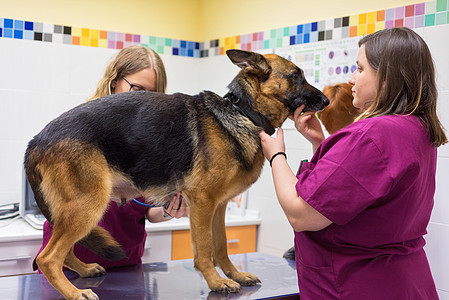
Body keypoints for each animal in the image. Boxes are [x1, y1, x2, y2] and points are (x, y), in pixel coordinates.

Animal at [24, 50, 328, 298]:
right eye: (296, 76)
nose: (326, 100)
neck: (243, 113)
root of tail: (37, 139)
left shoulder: (218, 207)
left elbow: (221, 247)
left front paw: (235, 275)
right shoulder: (203, 203)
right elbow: (204, 248)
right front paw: (216, 282)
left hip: (77, 211)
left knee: (64, 252)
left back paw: (84, 271)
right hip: (88, 205)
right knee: (48, 257)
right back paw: (75, 292)